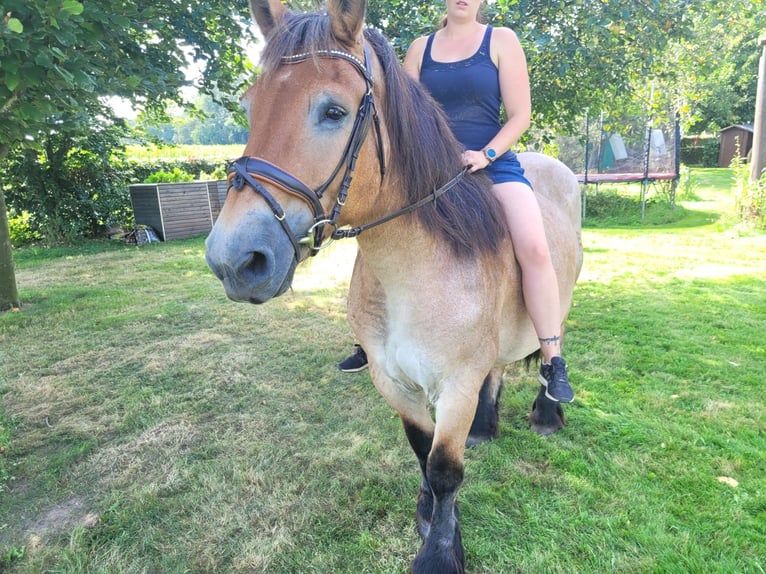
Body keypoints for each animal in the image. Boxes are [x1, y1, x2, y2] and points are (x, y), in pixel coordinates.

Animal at [204, 2, 584, 572]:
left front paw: (440, 552)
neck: (416, 272)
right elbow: (421, 452)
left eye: (333, 112)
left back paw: (548, 410)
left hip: (558, 300)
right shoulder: (391, 377)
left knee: (552, 344)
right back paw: (485, 425)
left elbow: (445, 468)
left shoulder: (455, 382)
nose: (234, 260)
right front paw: (430, 513)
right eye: (250, 108)